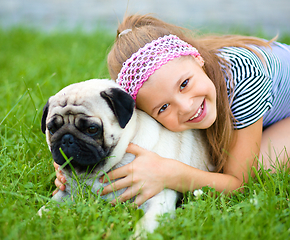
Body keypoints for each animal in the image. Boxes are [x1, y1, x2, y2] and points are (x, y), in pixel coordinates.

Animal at [38, 79, 213, 238]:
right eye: (52, 129)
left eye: (92, 129)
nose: (67, 138)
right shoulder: (66, 194)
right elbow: (44, 210)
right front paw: (35, 222)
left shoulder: (157, 198)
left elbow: (146, 222)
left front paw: (139, 236)